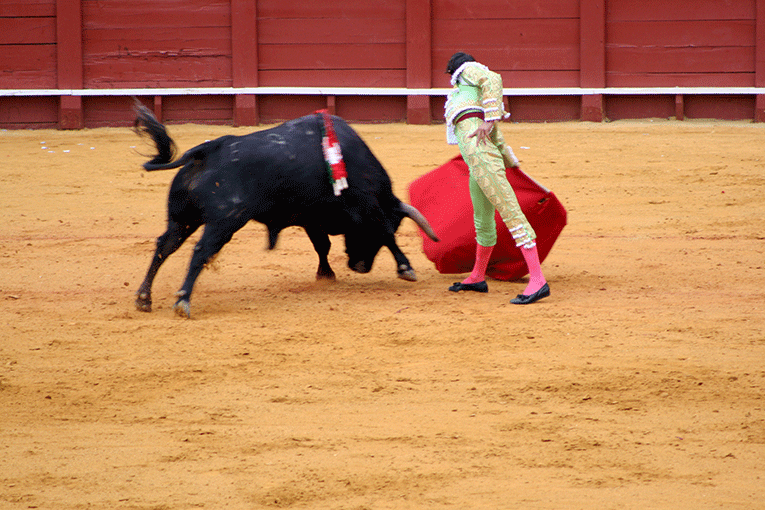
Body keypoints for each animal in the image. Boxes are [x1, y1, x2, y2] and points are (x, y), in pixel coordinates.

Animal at [132, 104, 439, 318]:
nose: (360, 267)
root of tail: (207, 151)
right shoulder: (367, 207)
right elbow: (386, 234)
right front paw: (406, 268)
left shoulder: (312, 217)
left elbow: (322, 245)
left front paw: (325, 274)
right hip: (224, 222)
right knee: (201, 252)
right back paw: (183, 301)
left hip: (182, 219)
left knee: (164, 246)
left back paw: (144, 298)